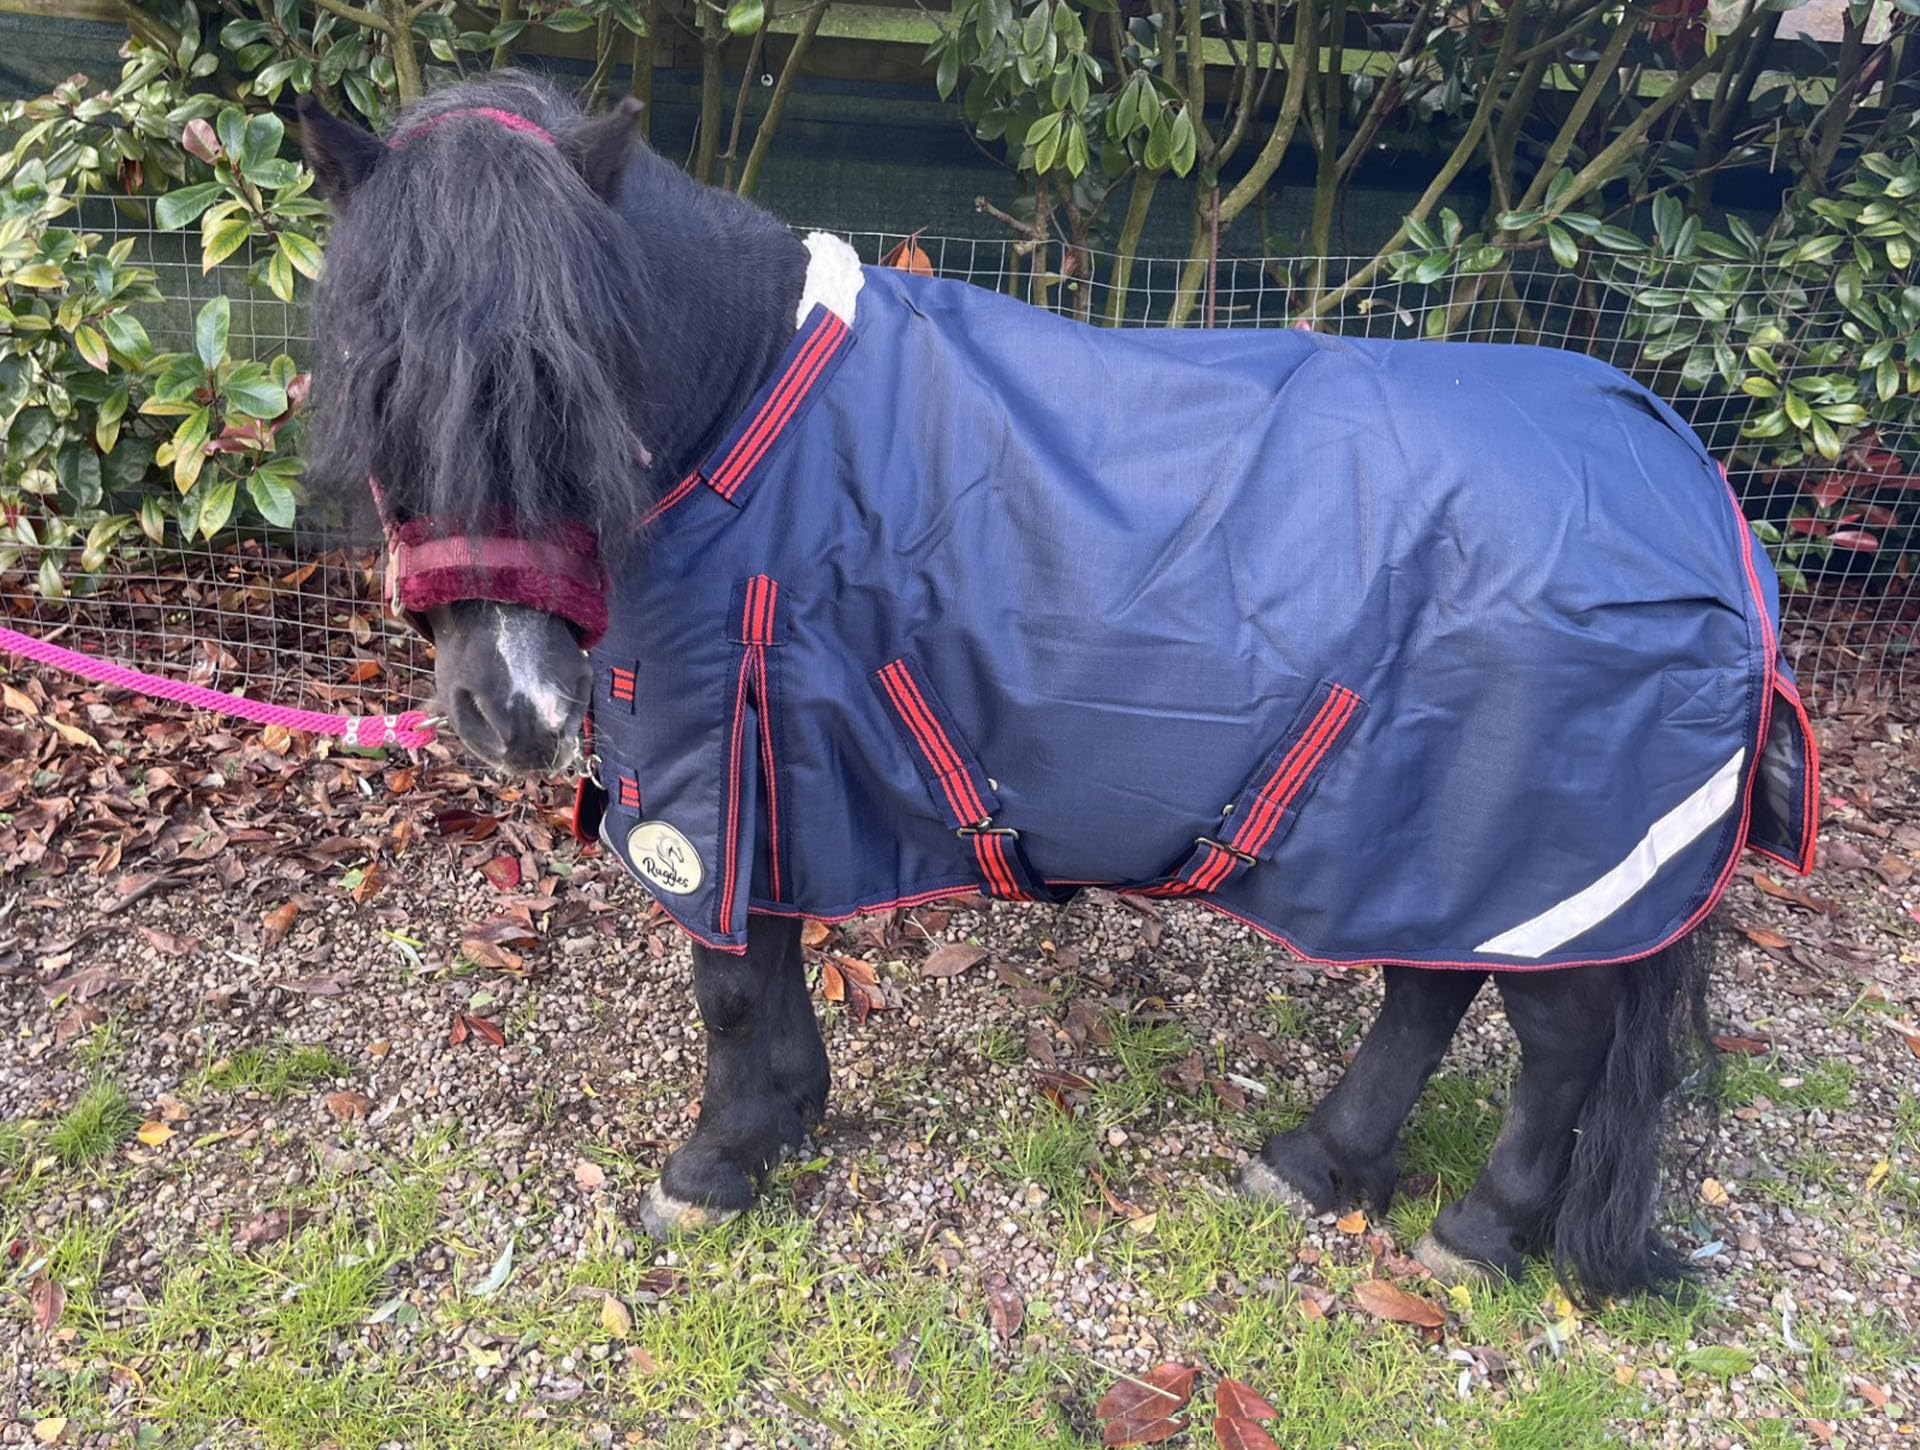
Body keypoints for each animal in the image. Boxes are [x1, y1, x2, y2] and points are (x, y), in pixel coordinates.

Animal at [296, 73, 1818, 1301]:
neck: (748, 417)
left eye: (577, 384)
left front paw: (715, 1162)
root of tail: (1697, 487)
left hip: (1544, 856)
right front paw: (787, 1115)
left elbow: (728, 979)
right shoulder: (772, 761)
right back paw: (1319, 1161)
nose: (515, 709)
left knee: (1552, 1042)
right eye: (378, 377)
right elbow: (771, 960)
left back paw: (1480, 1232)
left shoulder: (714, 764)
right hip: (1430, 841)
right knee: (1427, 996)